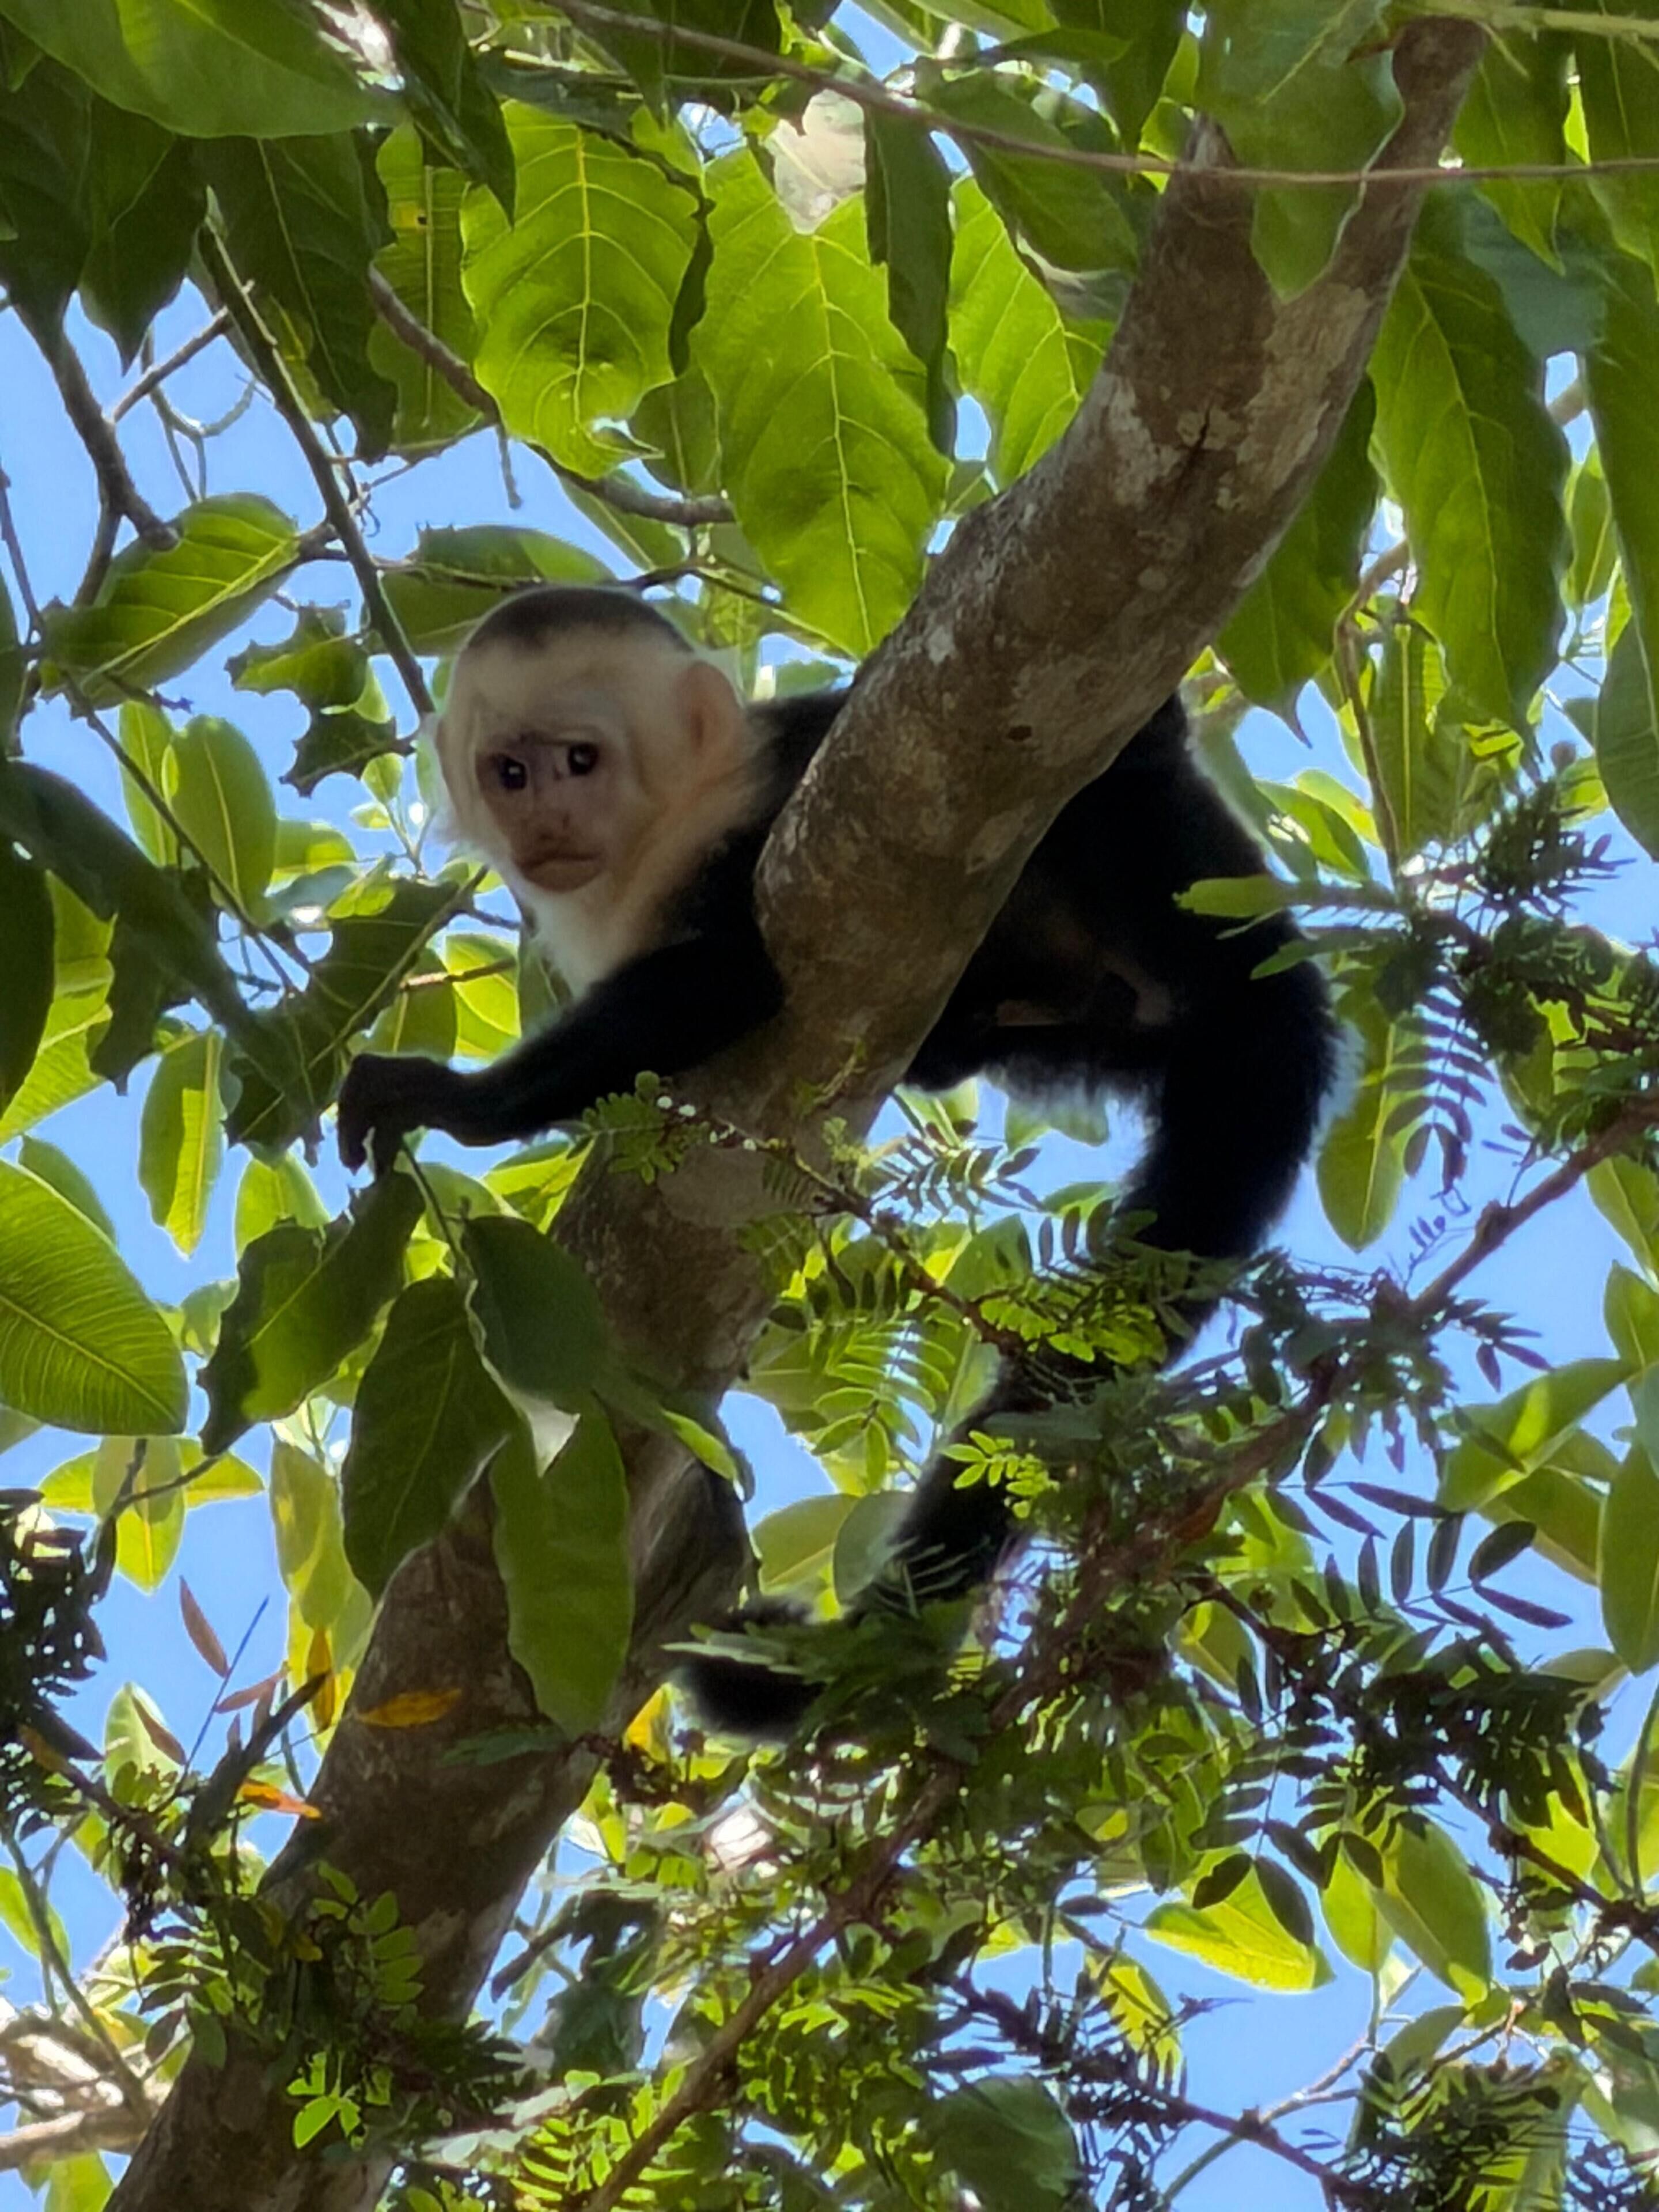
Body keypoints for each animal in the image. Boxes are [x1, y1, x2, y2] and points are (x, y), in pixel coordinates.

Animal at [336, 584, 1338, 1735]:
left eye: (582, 760)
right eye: (509, 771)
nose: (546, 820)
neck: (663, 837)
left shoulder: (748, 816)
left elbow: (729, 977)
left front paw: (459, 1103)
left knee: (1121, 777)